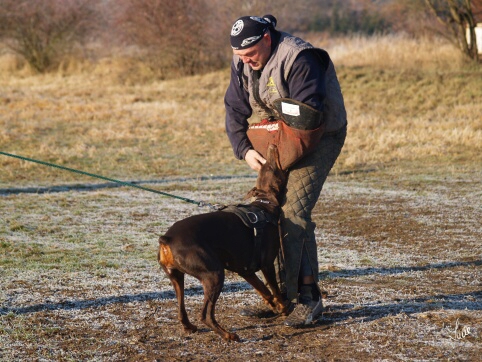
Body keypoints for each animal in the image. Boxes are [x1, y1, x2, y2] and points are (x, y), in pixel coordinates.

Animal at [158, 145, 288, 342]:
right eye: (272, 167)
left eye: (266, 167)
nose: (272, 146)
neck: (264, 205)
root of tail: (167, 239)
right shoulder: (266, 264)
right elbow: (275, 289)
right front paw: (283, 307)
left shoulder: (244, 270)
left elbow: (263, 290)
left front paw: (273, 305)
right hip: (214, 274)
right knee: (206, 315)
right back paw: (228, 335)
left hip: (176, 277)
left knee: (181, 309)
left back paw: (189, 327)